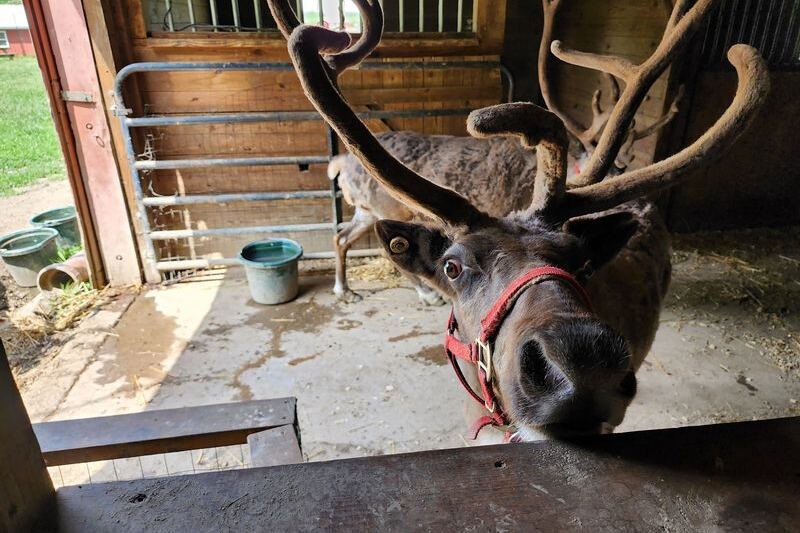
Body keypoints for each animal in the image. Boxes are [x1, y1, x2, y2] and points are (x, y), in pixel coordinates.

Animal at [327, 0, 684, 305]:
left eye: (623, 168)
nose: (644, 210)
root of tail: (341, 162)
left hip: (367, 209)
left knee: (342, 236)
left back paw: (344, 289)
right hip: (389, 209)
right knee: (389, 253)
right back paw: (426, 294)